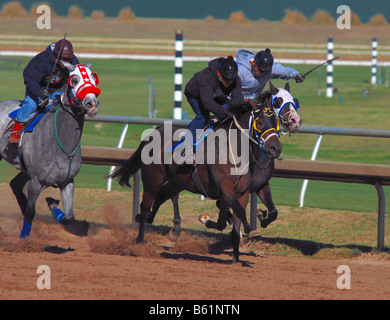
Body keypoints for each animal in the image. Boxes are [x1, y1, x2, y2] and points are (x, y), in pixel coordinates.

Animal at [0, 60, 100, 240]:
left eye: (94, 80)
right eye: (74, 79)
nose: (92, 104)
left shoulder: (68, 181)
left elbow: (69, 217)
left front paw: (53, 205)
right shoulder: (36, 181)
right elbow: (30, 213)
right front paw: (24, 238)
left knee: (15, 184)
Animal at [109, 97, 280, 262]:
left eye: (276, 123)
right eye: (260, 122)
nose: (276, 149)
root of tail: (154, 133)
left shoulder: (243, 192)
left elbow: (238, 220)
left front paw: (236, 258)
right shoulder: (225, 188)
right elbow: (238, 213)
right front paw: (250, 229)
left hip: (176, 182)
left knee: (162, 197)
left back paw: (168, 229)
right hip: (153, 181)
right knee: (145, 207)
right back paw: (140, 242)